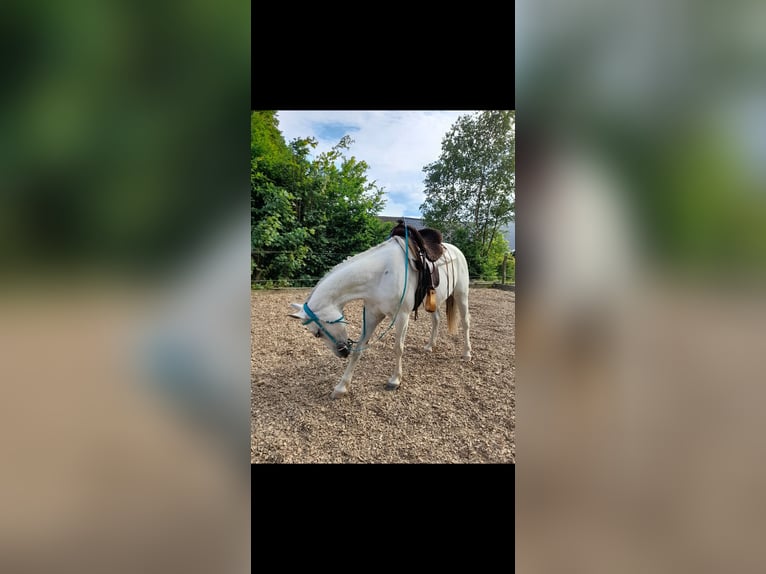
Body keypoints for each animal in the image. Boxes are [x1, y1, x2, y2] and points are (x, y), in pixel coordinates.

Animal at [288, 224, 472, 399]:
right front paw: (341, 387)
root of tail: (456, 250)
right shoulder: (372, 315)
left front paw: (395, 380)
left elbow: (398, 348)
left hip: (461, 294)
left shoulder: (402, 316)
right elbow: (359, 349)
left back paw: (467, 353)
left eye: (317, 333)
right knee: (437, 319)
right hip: (432, 301)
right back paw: (429, 346)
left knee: (465, 322)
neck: (380, 275)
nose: (343, 353)